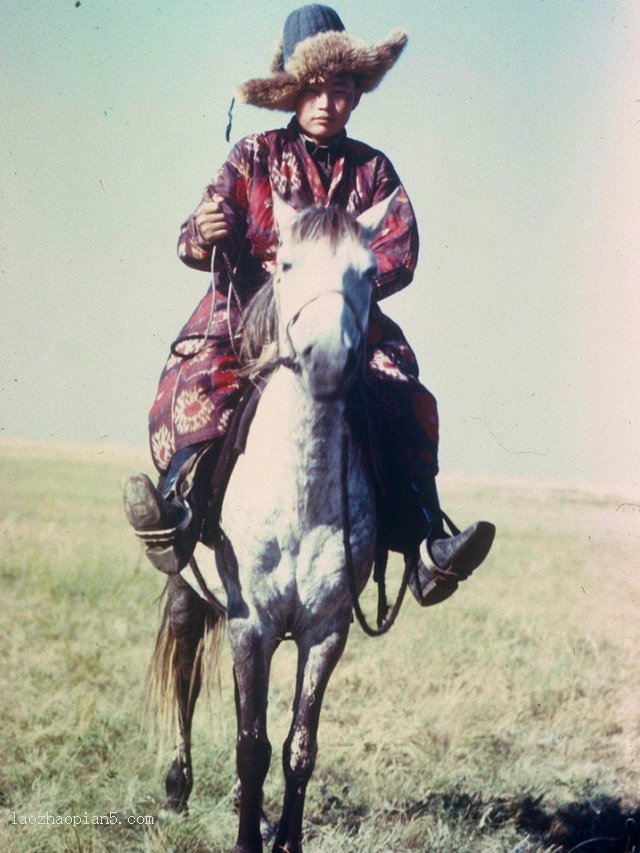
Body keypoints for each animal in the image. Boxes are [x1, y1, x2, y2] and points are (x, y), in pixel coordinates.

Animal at [152, 193, 398, 852]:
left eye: (369, 272)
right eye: (285, 264)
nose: (328, 361)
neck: (300, 495)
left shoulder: (327, 631)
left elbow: (297, 749)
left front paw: (285, 839)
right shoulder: (250, 623)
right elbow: (250, 746)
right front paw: (245, 841)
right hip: (188, 593)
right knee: (185, 678)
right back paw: (178, 786)